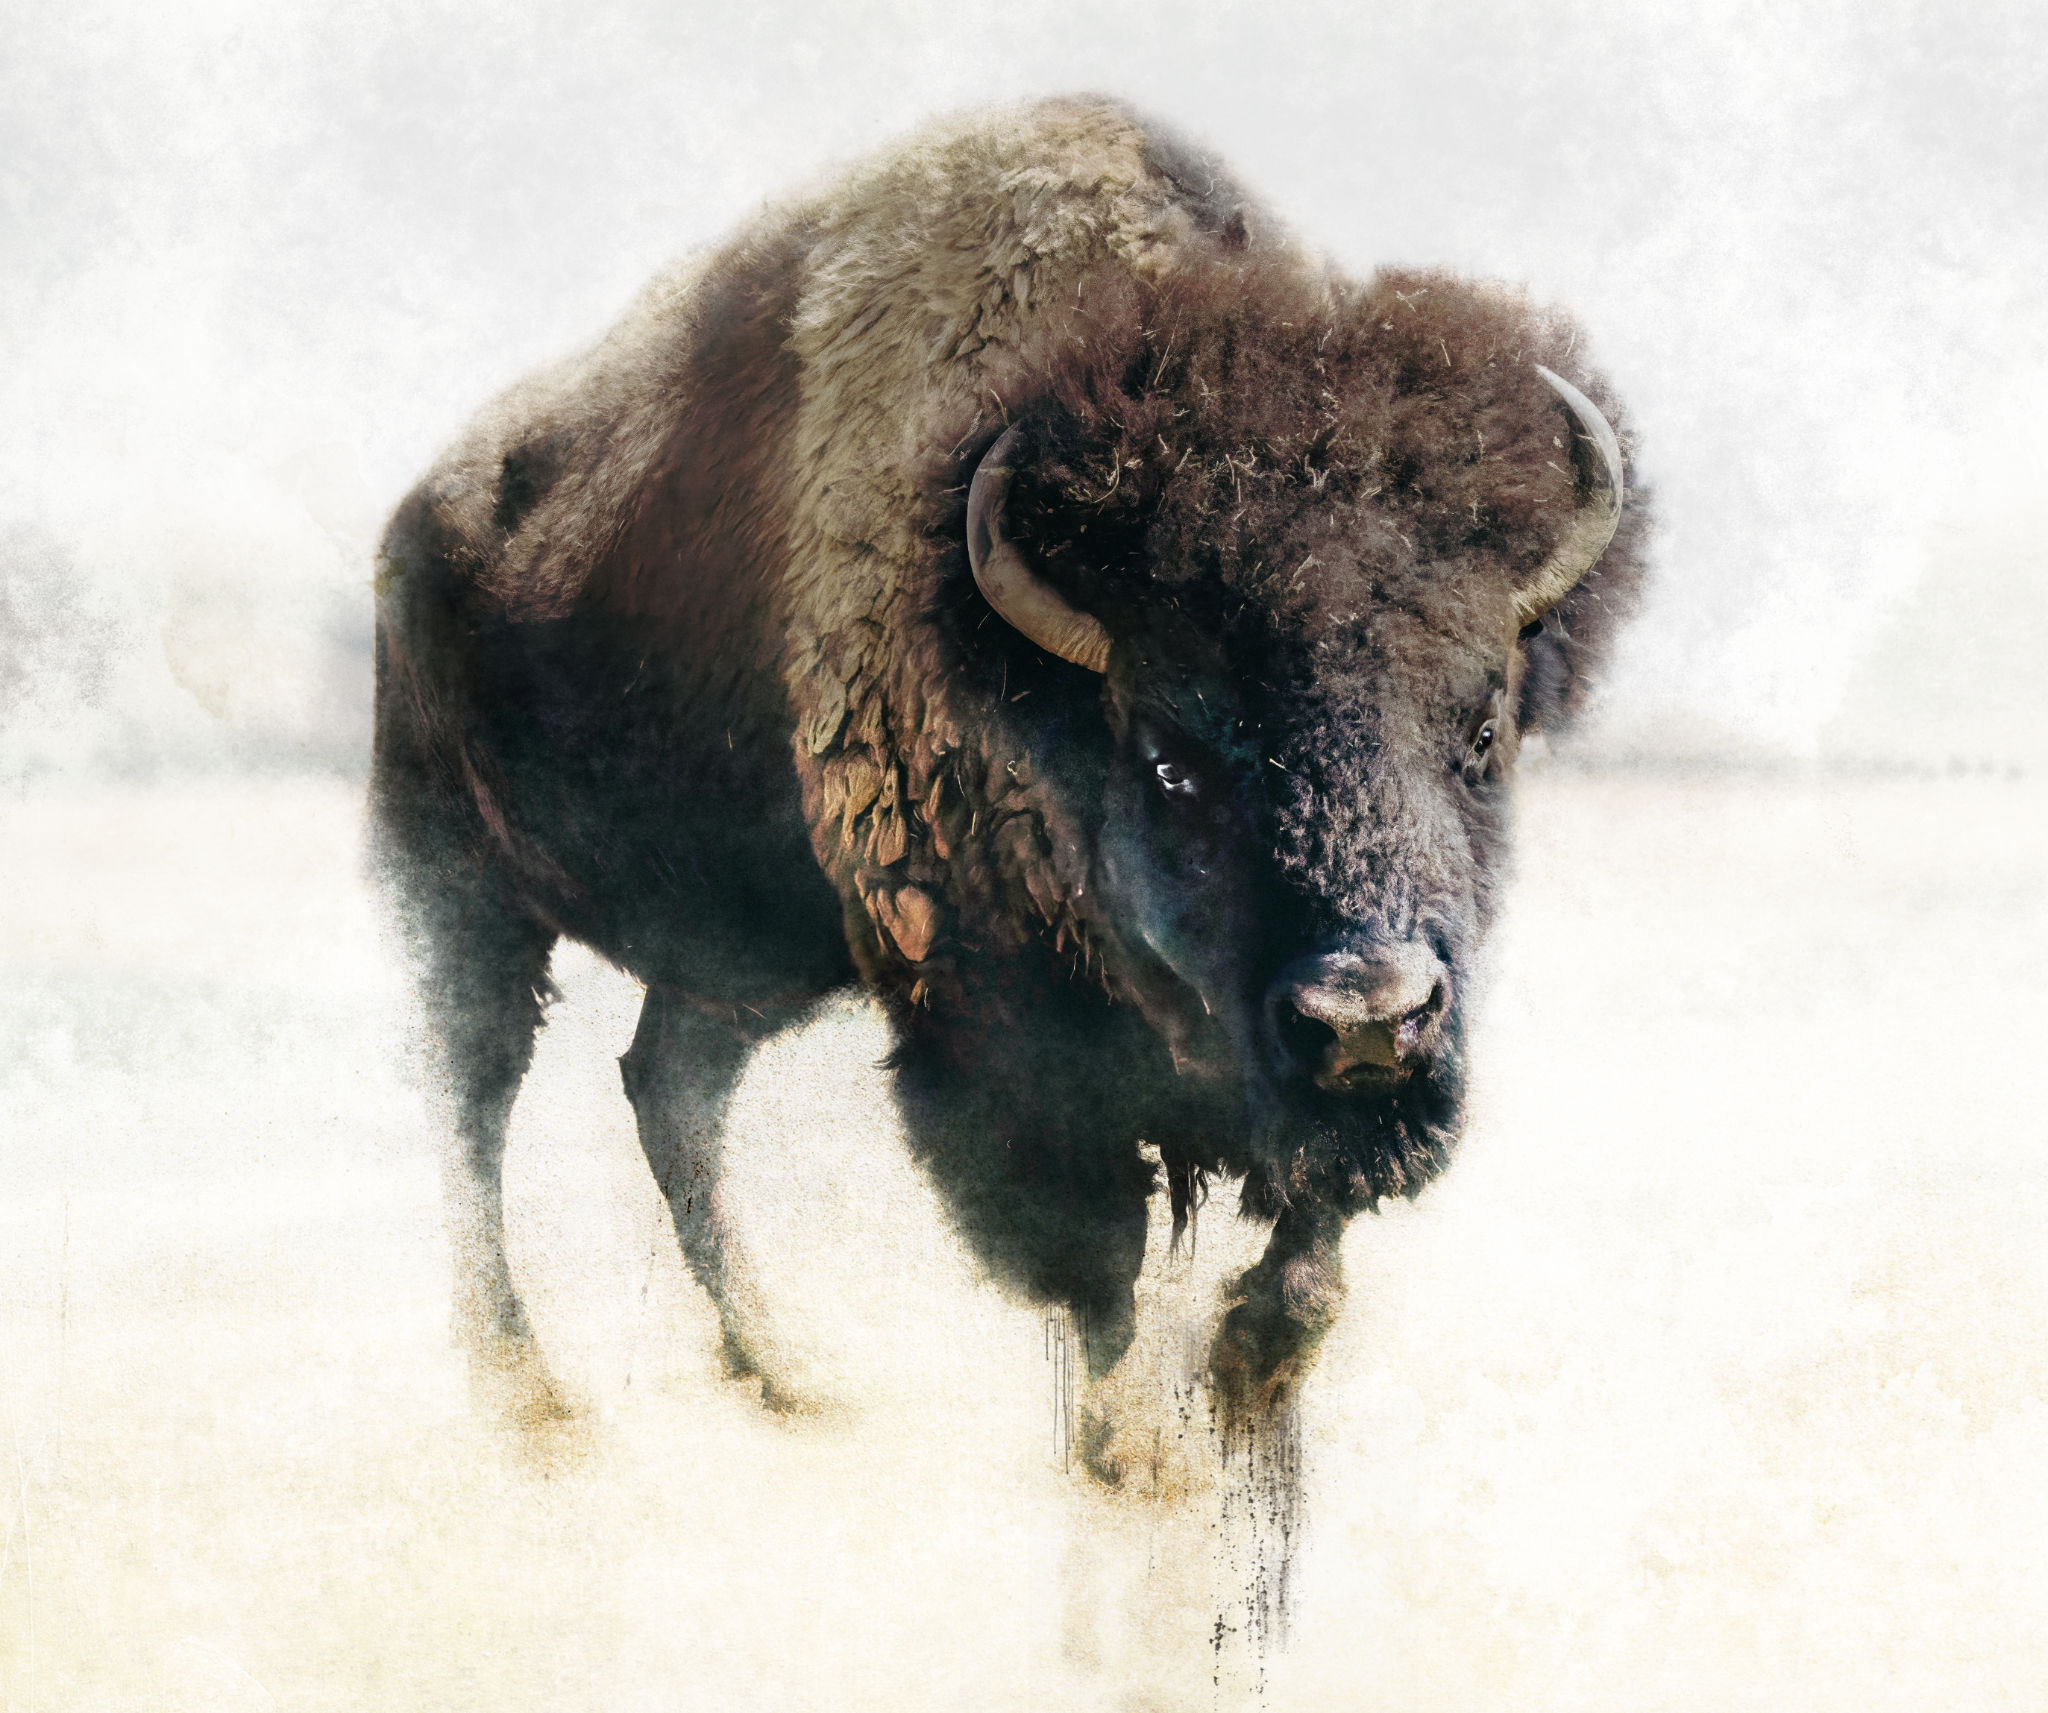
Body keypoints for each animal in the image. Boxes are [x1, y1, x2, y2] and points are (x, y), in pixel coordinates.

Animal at [371, 95, 1644, 1448]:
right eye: (1166, 757)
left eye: (1481, 732)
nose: (1367, 1015)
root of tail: (417, 520)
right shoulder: (993, 1033)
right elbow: (1096, 1264)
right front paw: (1129, 1446)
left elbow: (1304, 1257)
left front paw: (1244, 1376)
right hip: (461, 894)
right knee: (474, 1103)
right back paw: (530, 1393)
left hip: (735, 960)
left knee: (669, 1090)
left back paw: (789, 1374)